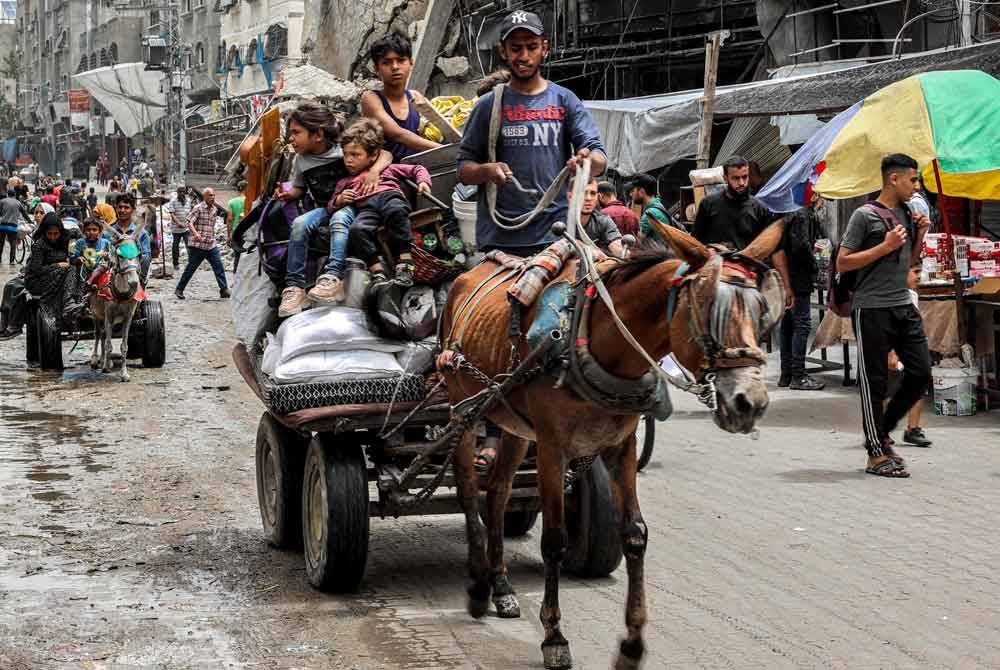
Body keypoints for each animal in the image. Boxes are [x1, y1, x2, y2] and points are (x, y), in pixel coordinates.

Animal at [442, 220, 784, 670]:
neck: (599, 341)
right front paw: (554, 636)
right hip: (462, 408)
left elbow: (635, 534)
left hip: (513, 423)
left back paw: (501, 587)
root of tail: (463, 277)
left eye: (762, 310)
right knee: (469, 494)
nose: (750, 402)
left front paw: (632, 643)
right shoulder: (552, 447)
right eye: (709, 306)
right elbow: (554, 540)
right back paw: (479, 587)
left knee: (497, 493)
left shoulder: (622, 446)